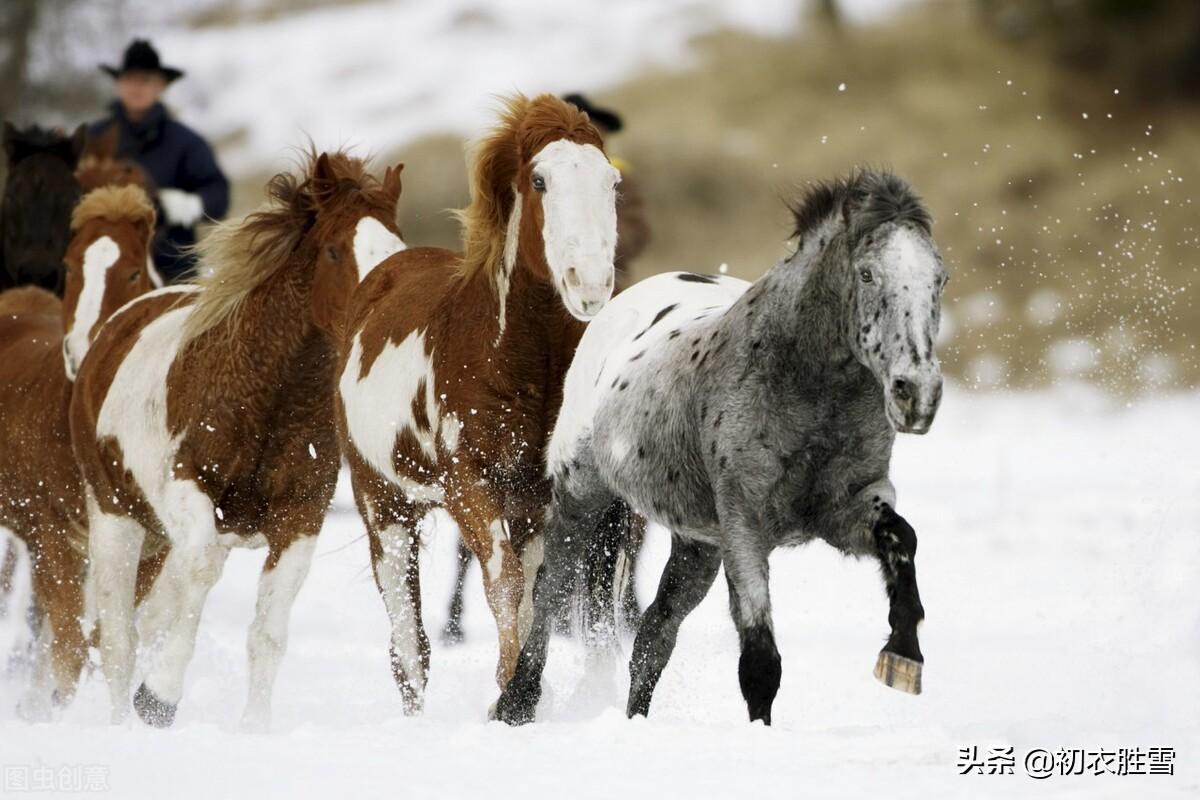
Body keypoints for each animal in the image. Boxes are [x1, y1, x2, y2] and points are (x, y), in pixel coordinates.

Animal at [0, 184, 159, 714]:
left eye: (133, 272)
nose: (81, 350)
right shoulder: (50, 534)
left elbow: (92, 639)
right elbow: (70, 645)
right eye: (70, 267)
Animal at [71, 151, 408, 734]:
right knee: (117, 638)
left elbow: (268, 630)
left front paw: (254, 727)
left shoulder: (300, 517)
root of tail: (109, 332)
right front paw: (158, 699)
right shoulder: (187, 491)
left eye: (397, 245)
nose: (375, 311)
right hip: (116, 517)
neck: (269, 402)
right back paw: (122, 721)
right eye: (335, 249)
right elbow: (196, 577)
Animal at [338, 94, 619, 714]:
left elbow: (535, 590)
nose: (590, 284)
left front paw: (520, 692)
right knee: (408, 642)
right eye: (540, 180)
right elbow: (505, 585)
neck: (519, 362)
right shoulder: (469, 487)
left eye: (612, 181)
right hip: (384, 510)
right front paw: (508, 697)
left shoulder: (538, 498)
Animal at [496, 169, 945, 724]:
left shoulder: (850, 506)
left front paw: (903, 656)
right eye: (865, 275)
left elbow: (903, 539)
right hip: (582, 495)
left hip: (696, 546)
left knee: (654, 634)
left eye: (940, 279)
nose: (917, 393)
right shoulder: (744, 524)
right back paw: (516, 703)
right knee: (550, 590)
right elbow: (760, 660)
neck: (806, 389)